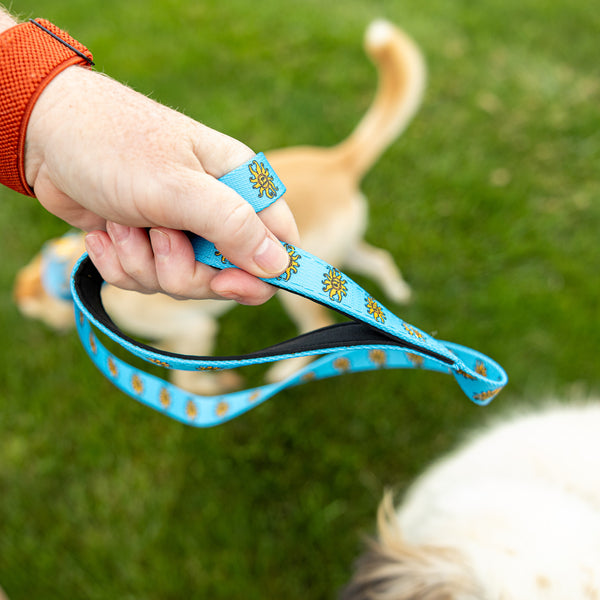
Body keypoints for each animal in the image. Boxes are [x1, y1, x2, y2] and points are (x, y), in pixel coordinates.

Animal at [15, 18, 426, 394]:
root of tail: (337, 162)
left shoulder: (195, 329)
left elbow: (185, 376)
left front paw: (216, 384)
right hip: (340, 252)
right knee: (379, 261)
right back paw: (399, 293)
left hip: (303, 289)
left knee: (315, 326)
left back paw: (284, 373)